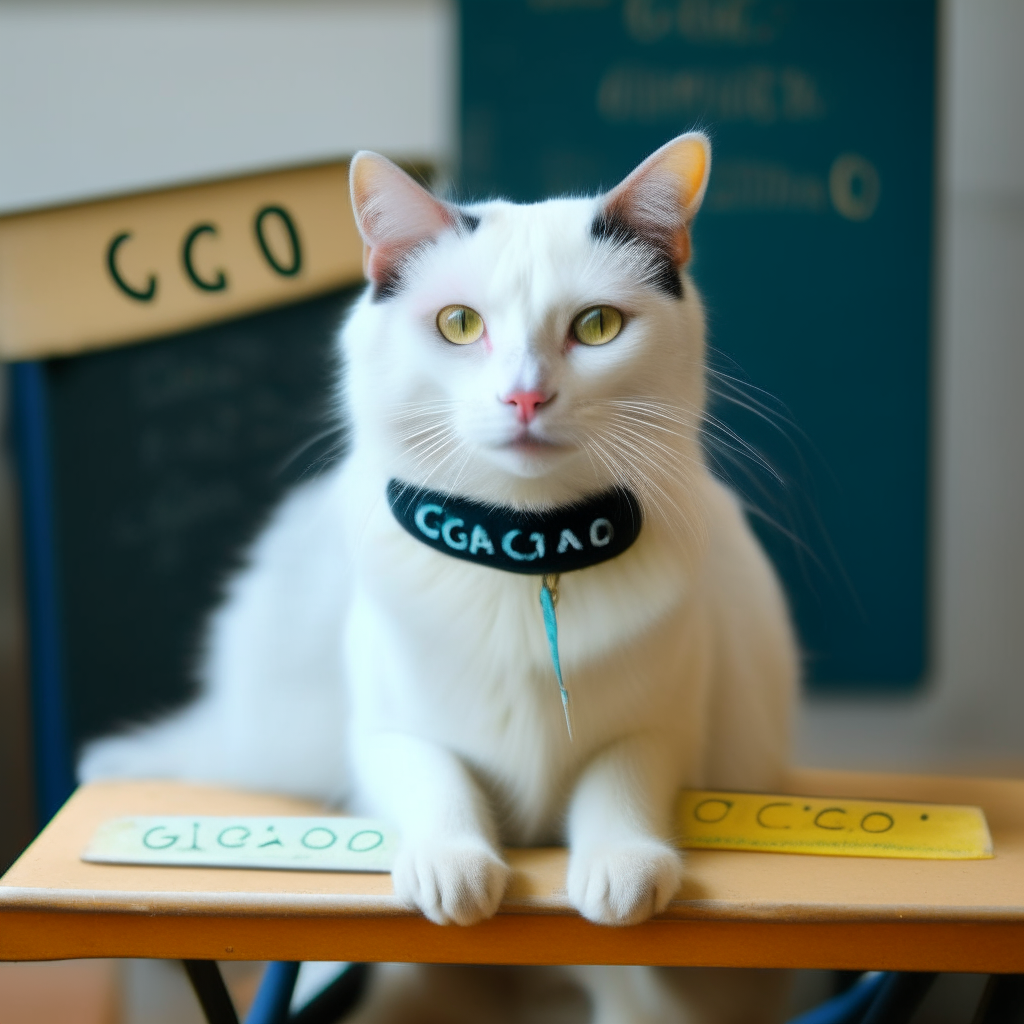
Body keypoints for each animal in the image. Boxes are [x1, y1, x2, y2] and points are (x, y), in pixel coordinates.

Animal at [79, 132, 798, 1024]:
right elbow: (433, 774)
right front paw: (453, 863)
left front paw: (621, 863)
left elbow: (619, 778)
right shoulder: (385, 729)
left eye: (596, 326)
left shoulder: (668, 724)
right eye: (460, 325)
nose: (525, 397)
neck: (527, 551)